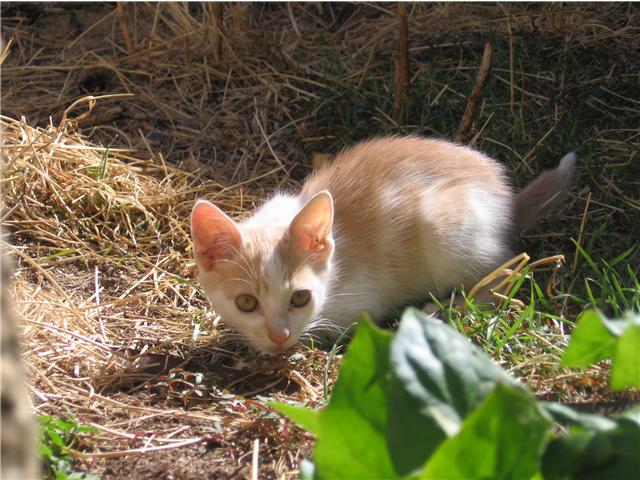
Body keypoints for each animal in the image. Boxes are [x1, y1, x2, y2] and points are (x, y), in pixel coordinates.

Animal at [190, 137, 576, 354]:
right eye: (246, 303)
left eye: (301, 298)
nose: (279, 335)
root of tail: (507, 203)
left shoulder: (362, 302)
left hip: (444, 225)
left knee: (505, 274)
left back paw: (444, 309)